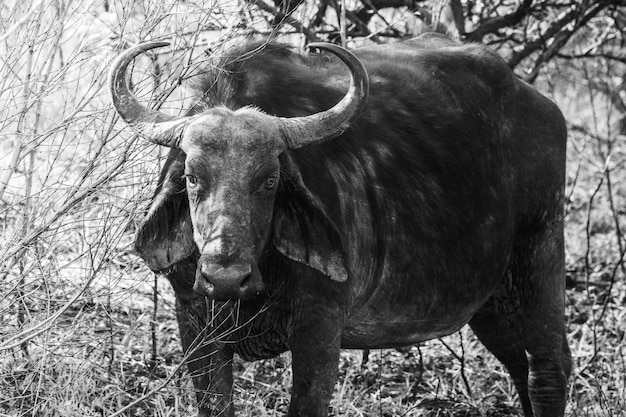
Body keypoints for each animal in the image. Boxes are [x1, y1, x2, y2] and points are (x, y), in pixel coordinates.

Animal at [108, 33, 572, 416]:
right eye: (191, 177)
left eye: (269, 180)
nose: (224, 276)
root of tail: (543, 107)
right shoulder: (194, 323)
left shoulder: (320, 328)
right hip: (491, 300)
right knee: (517, 364)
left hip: (541, 250)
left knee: (546, 369)